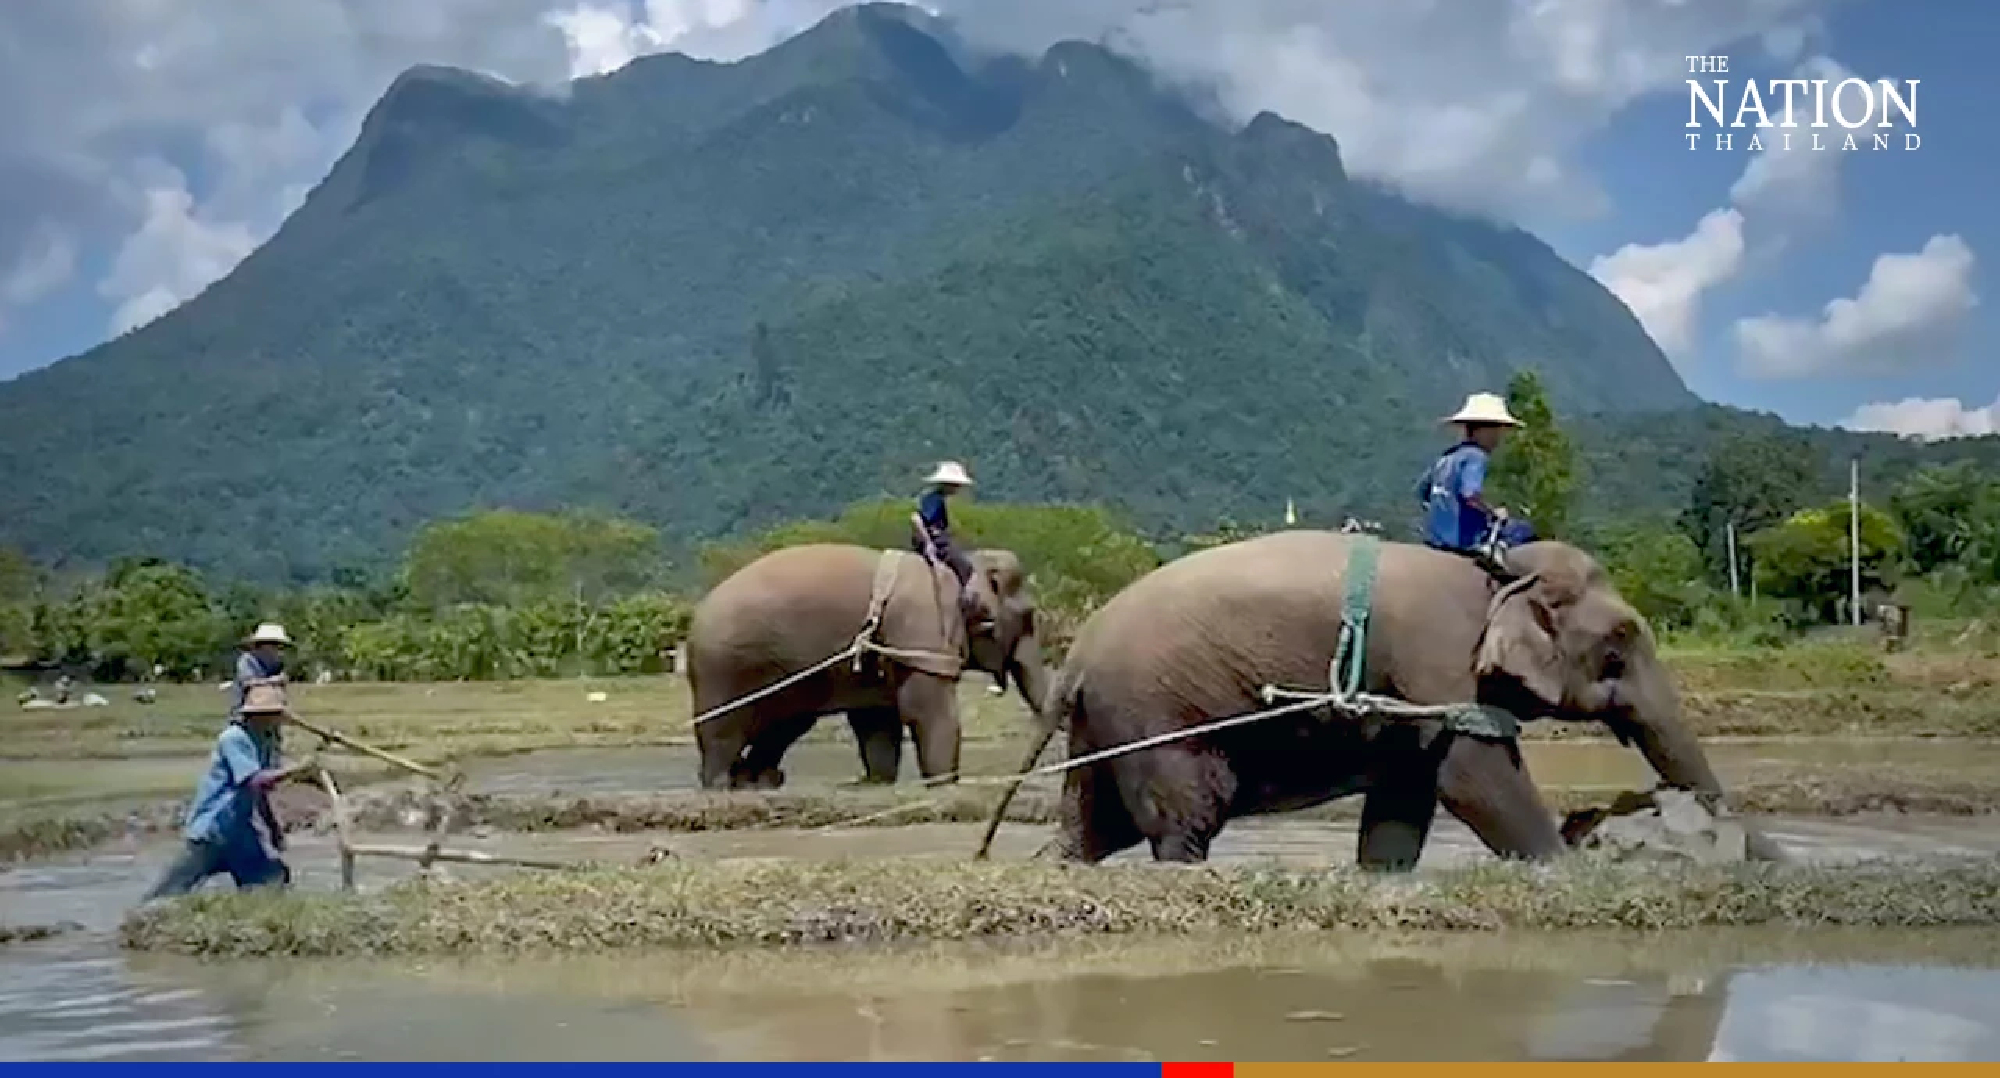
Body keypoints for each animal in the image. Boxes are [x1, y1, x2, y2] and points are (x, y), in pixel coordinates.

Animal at [688, 543, 1048, 789]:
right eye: (1029, 617)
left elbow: (878, 721)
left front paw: (877, 782)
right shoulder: (924, 630)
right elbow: (926, 711)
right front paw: (944, 786)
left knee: (785, 725)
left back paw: (758, 782)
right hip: (722, 669)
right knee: (724, 732)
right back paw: (724, 784)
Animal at [1001, 530, 1782, 869]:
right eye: (1618, 645)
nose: (1761, 855)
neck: (1499, 572)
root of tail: (1077, 657)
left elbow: (1407, 796)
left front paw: (1382, 881)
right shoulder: (1439, 661)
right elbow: (1475, 776)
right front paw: (1566, 868)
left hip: (1106, 720)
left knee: (1094, 827)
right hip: (1158, 715)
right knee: (1184, 817)